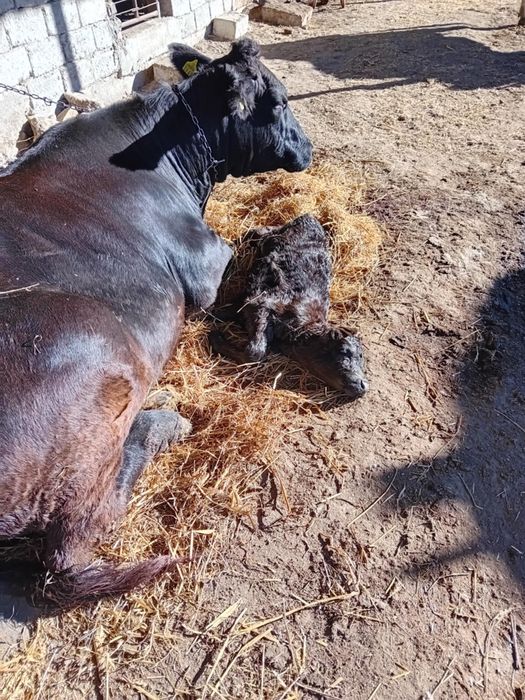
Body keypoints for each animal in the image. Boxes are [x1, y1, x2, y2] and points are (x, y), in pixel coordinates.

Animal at [0, 38, 312, 608]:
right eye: (278, 100)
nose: (308, 147)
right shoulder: (206, 264)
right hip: (98, 346)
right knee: (74, 543)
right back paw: (162, 422)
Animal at [209, 214, 368, 399]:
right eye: (344, 351)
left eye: (361, 356)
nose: (363, 385)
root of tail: (310, 217)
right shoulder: (261, 303)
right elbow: (255, 352)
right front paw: (215, 335)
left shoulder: (250, 303)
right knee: (260, 232)